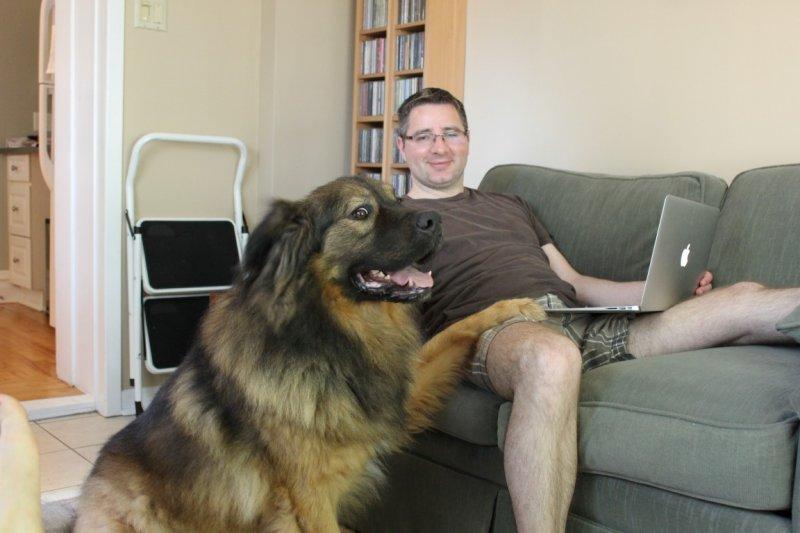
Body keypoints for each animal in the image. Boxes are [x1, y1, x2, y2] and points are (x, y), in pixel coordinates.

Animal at [75, 176, 544, 532]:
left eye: (396, 200)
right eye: (361, 213)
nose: (437, 219)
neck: (329, 336)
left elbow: (453, 332)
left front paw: (513, 307)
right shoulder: (309, 499)